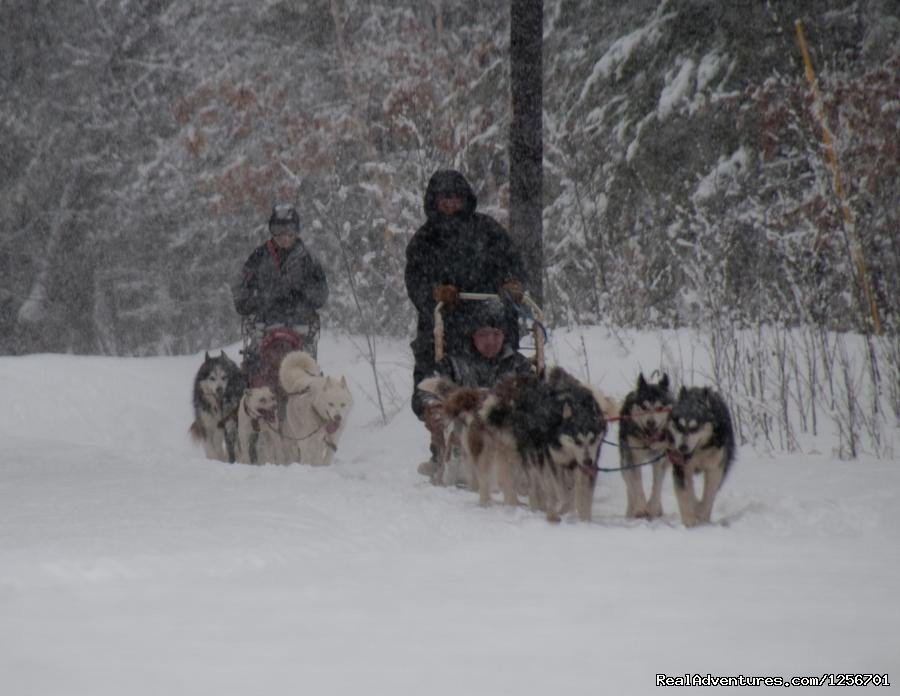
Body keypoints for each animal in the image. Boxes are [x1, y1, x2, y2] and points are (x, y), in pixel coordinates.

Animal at [624, 376, 672, 516]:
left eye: (660, 408)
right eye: (644, 407)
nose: (651, 422)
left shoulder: (659, 459)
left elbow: (657, 485)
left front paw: (652, 508)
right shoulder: (633, 458)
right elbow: (636, 484)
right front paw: (640, 508)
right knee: (629, 484)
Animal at [664, 386, 736, 528]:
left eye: (694, 428)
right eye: (679, 426)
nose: (683, 447)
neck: (699, 452)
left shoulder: (714, 469)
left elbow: (709, 495)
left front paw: (702, 515)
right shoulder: (681, 468)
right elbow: (685, 494)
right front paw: (689, 521)